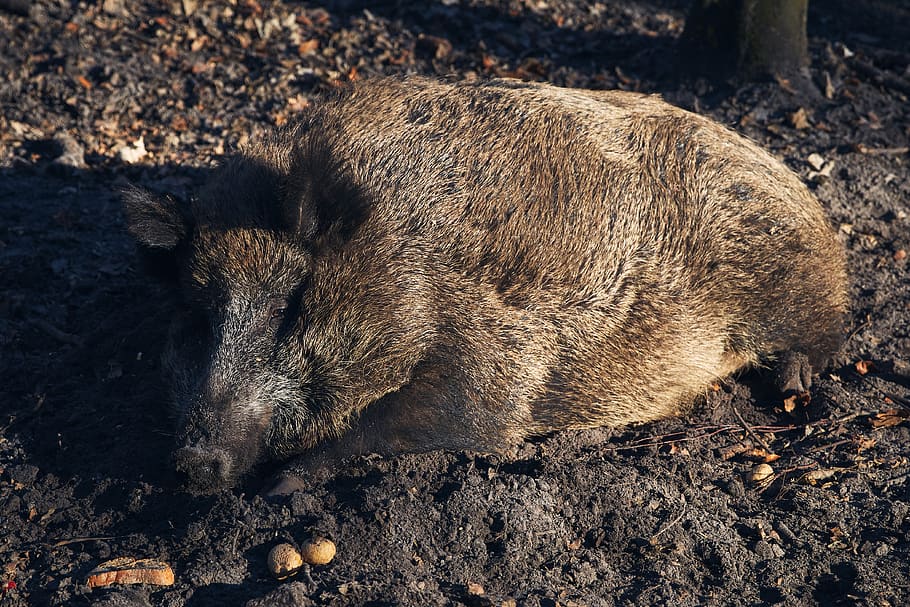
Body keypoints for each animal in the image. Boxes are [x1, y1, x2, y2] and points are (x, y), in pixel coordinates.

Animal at [122, 76, 848, 494]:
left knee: (822, 335)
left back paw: (791, 392)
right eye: (197, 318)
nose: (193, 462)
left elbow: (421, 420)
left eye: (290, 307)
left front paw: (283, 487)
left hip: (791, 282)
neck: (400, 264)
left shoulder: (492, 365)